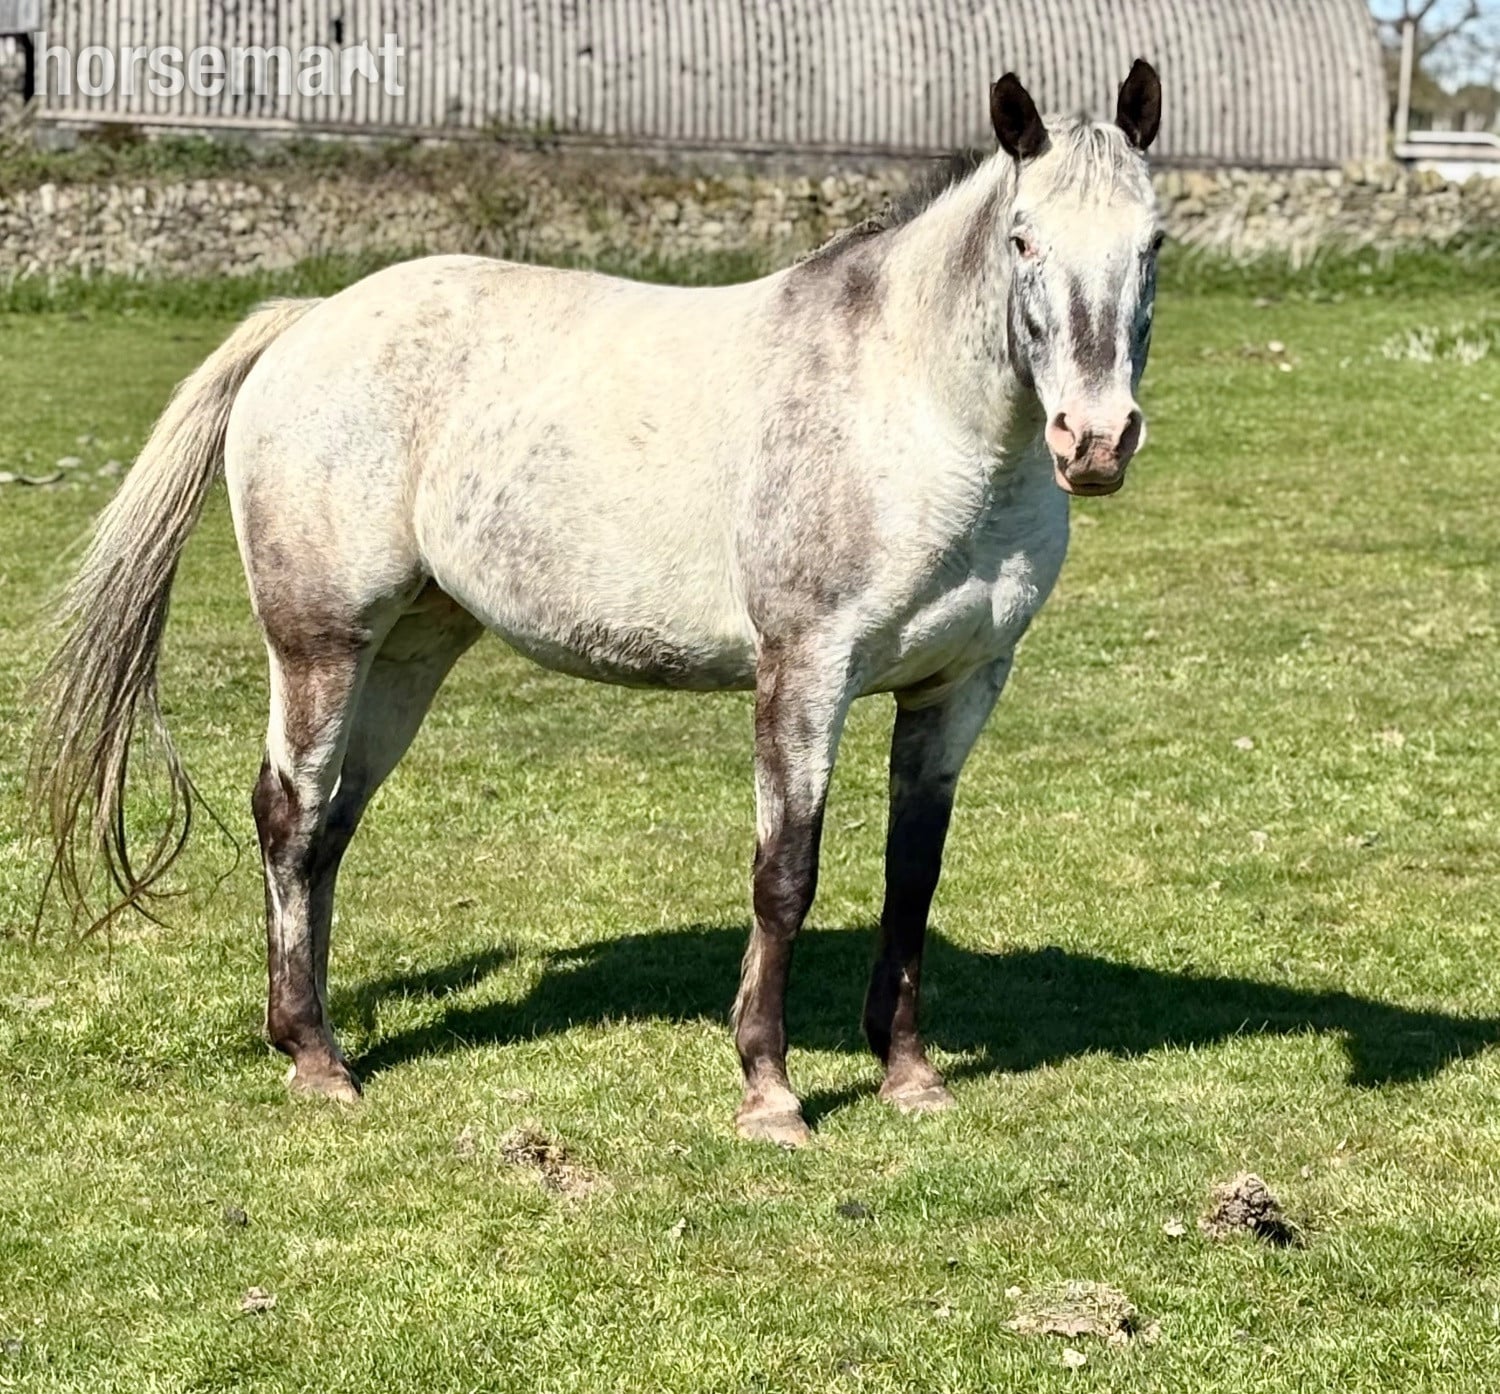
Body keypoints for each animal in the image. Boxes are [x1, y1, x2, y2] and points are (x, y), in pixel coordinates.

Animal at [33, 62, 1164, 1146]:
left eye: (1152, 243)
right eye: (1022, 238)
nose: (1095, 441)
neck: (913, 413)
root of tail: (305, 322)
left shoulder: (957, 685)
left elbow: (911, 877)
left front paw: (911, 1075)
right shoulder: (805, 671)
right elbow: (785, 875)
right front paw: (769, 1093)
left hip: (408, 654)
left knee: (332, 827)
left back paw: (306, 1032)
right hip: (322, 647)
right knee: (290, 815)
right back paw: (316, 1057)